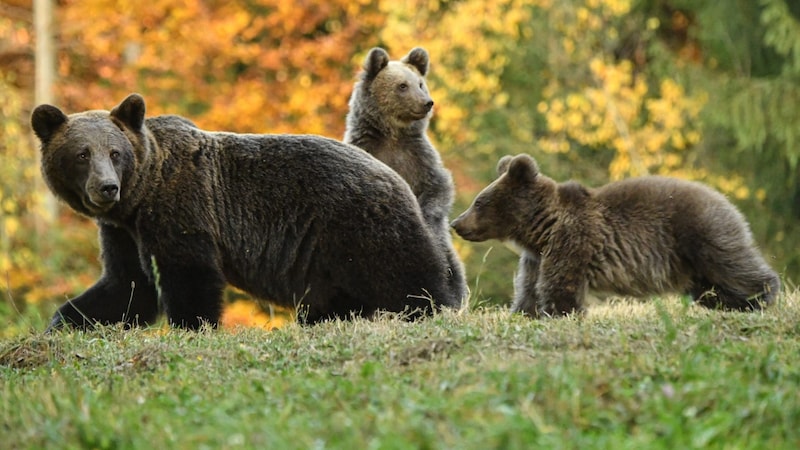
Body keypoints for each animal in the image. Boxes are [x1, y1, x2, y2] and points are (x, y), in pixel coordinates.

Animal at [32, 93, 462, 330]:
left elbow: (189, 276)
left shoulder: (180, 209)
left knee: (408, 276)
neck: (141, 195)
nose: (107, 187)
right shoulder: (123, 231)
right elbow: (127, 286)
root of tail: (396, 177)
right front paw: (64, 322)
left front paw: (193, 326)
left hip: (357, 225)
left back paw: (438, 305)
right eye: (82, 154)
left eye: (114, 152)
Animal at [450, 153, 780, 318]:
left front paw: (558, 312)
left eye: (479, 202)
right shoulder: (535, 257)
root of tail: (722, 197)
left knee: (733, 263)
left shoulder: (574, 241)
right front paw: (523, 312)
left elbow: (559, 286)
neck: (541, 229)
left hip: (700, 232)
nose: (456, 223)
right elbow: (528, 288)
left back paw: (763, 295)